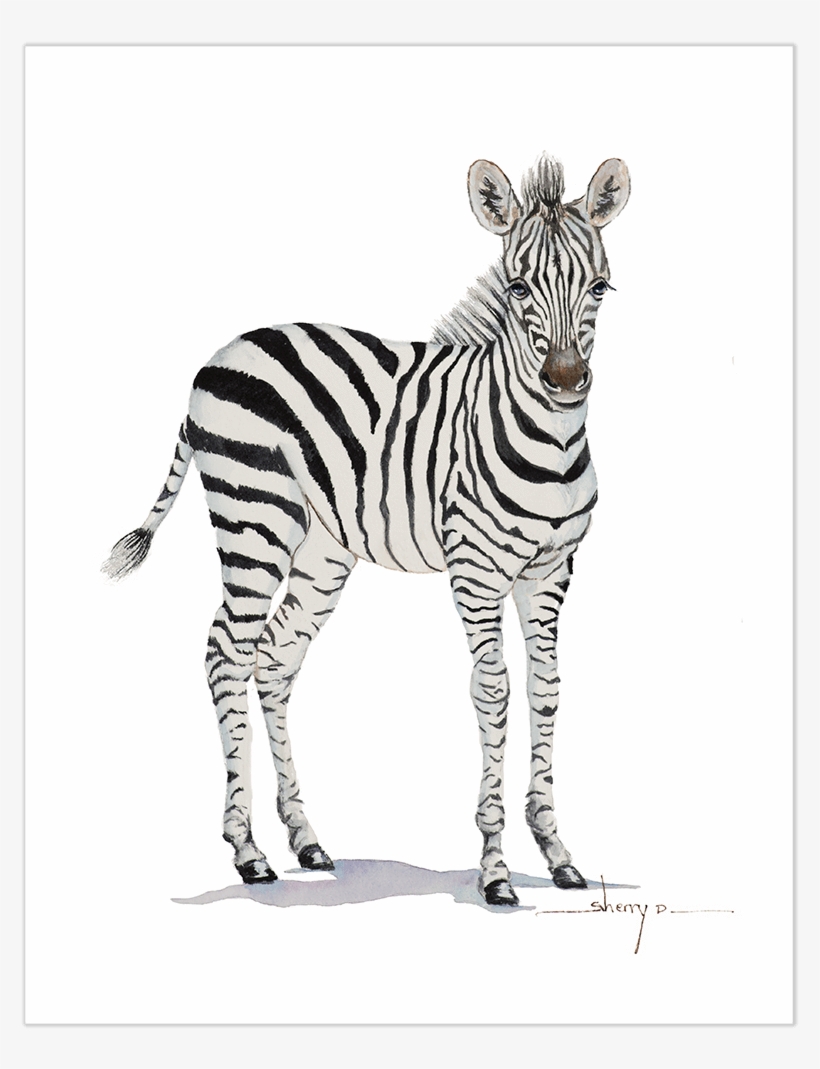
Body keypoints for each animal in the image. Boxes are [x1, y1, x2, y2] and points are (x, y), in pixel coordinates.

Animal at [103, 152, 629, 907]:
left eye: (600, 286)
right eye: (519, 285)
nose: (565, 381)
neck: (549, 444)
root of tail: (216, 357)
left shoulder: (551, 571)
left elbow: (548, 688)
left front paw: (557, 851)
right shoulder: (475, 570)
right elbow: (493, 689)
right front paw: (495, 867)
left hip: (320, 551)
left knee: (274, 656)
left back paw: (305, 839)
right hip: (252, 518)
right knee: (225, 650)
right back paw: (248, 851)